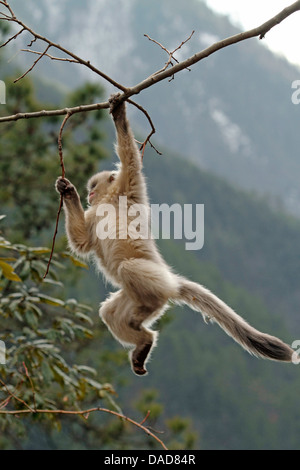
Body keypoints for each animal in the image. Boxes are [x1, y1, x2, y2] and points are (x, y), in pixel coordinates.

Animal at [55, 93, 294, 376]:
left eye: (93, 187)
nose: (90, 195)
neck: (108, 201)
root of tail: (171, 281)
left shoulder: (127, 189)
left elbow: (129, 157)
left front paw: (118, 110)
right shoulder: (94, 215)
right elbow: (81, 242)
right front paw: (66, 191)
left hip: (154, 283)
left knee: (128, 268)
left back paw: (144, 327)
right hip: (135, 293)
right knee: (111, 313)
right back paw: (144, 341)